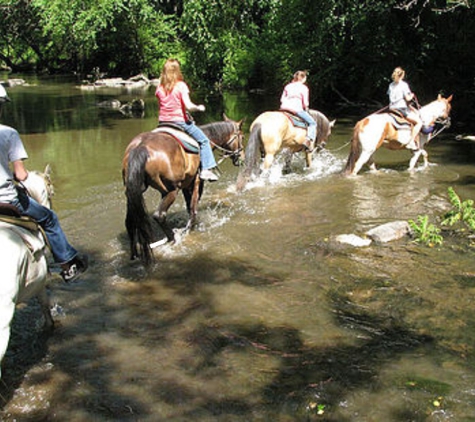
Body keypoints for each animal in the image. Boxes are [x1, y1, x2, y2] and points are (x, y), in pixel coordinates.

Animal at [122, 115, 245, 264]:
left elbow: (189, 206)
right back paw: (173, 238)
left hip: (132, 192)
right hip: (170, 190)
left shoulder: (187, 183)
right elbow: (193, 208)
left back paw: (134, 255)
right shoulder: (197, 181)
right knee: (159, 215)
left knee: (130, 221)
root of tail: (140, 146)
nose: (242, 157)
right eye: (242, 136)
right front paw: (189, 228)